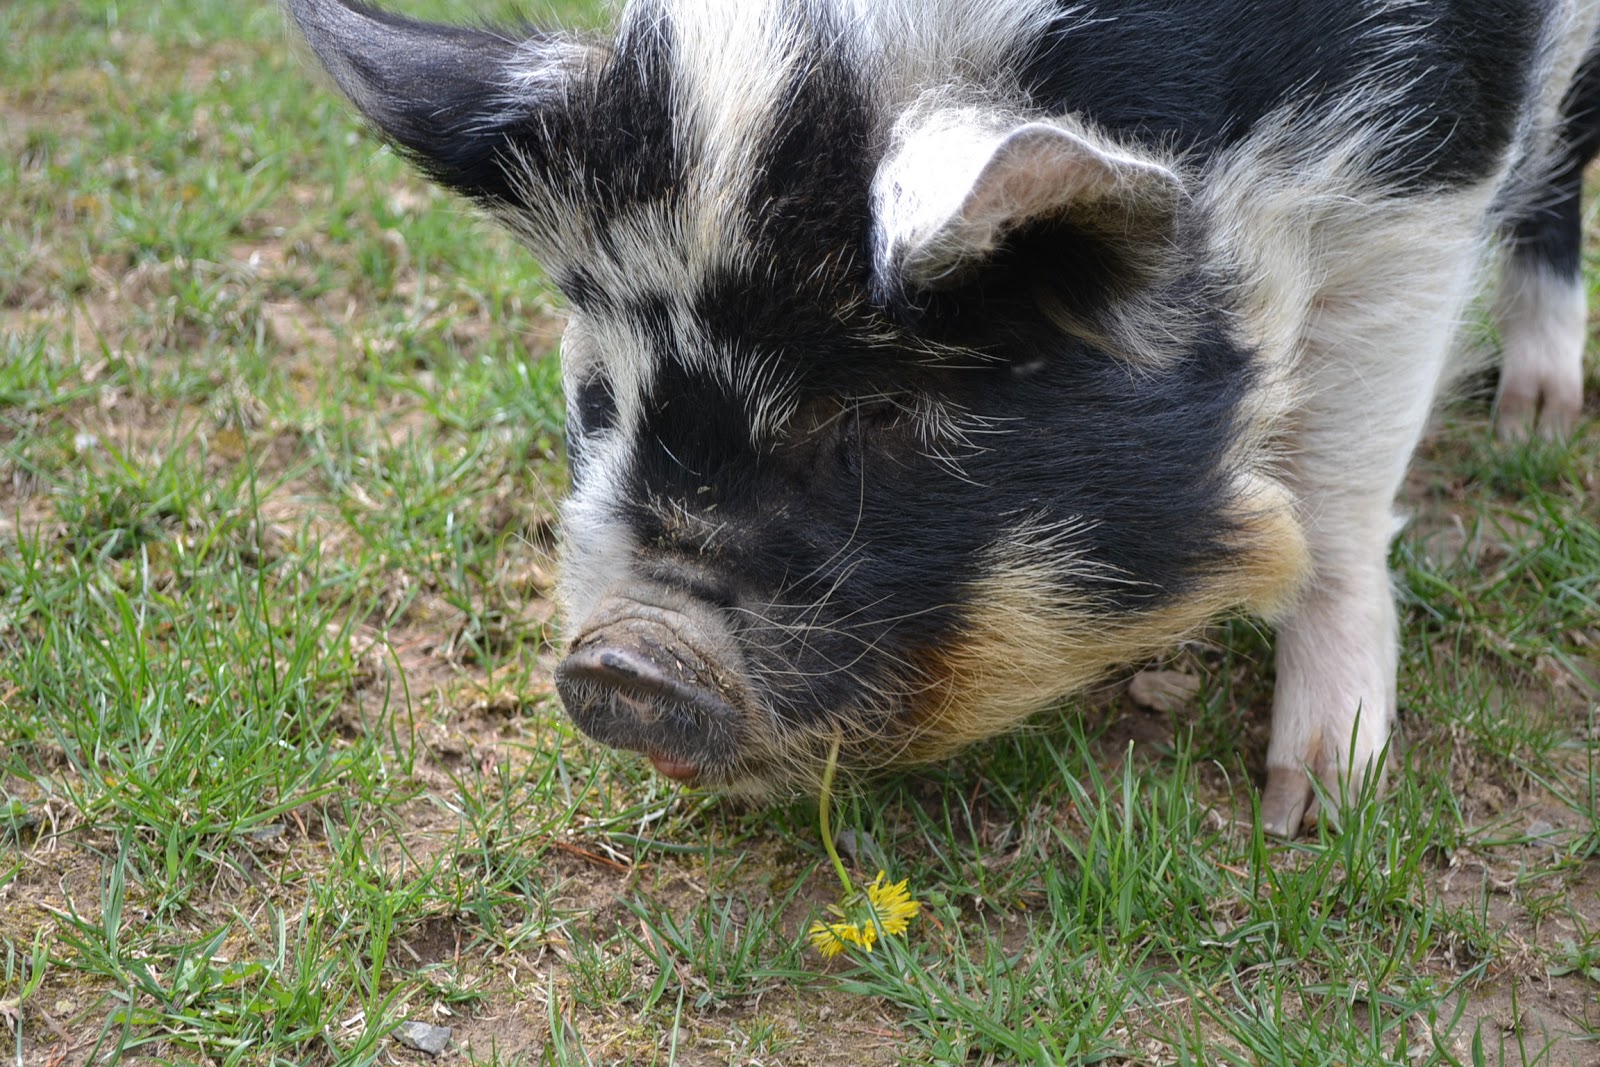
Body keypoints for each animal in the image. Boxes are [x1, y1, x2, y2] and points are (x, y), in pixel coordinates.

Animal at [288, 0, 1597, 835]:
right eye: (600, 393)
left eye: (877, 408)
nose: (620, 661)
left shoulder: (1425, 165)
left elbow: (1338, 489)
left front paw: (1313, 812)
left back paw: (1535, 418)